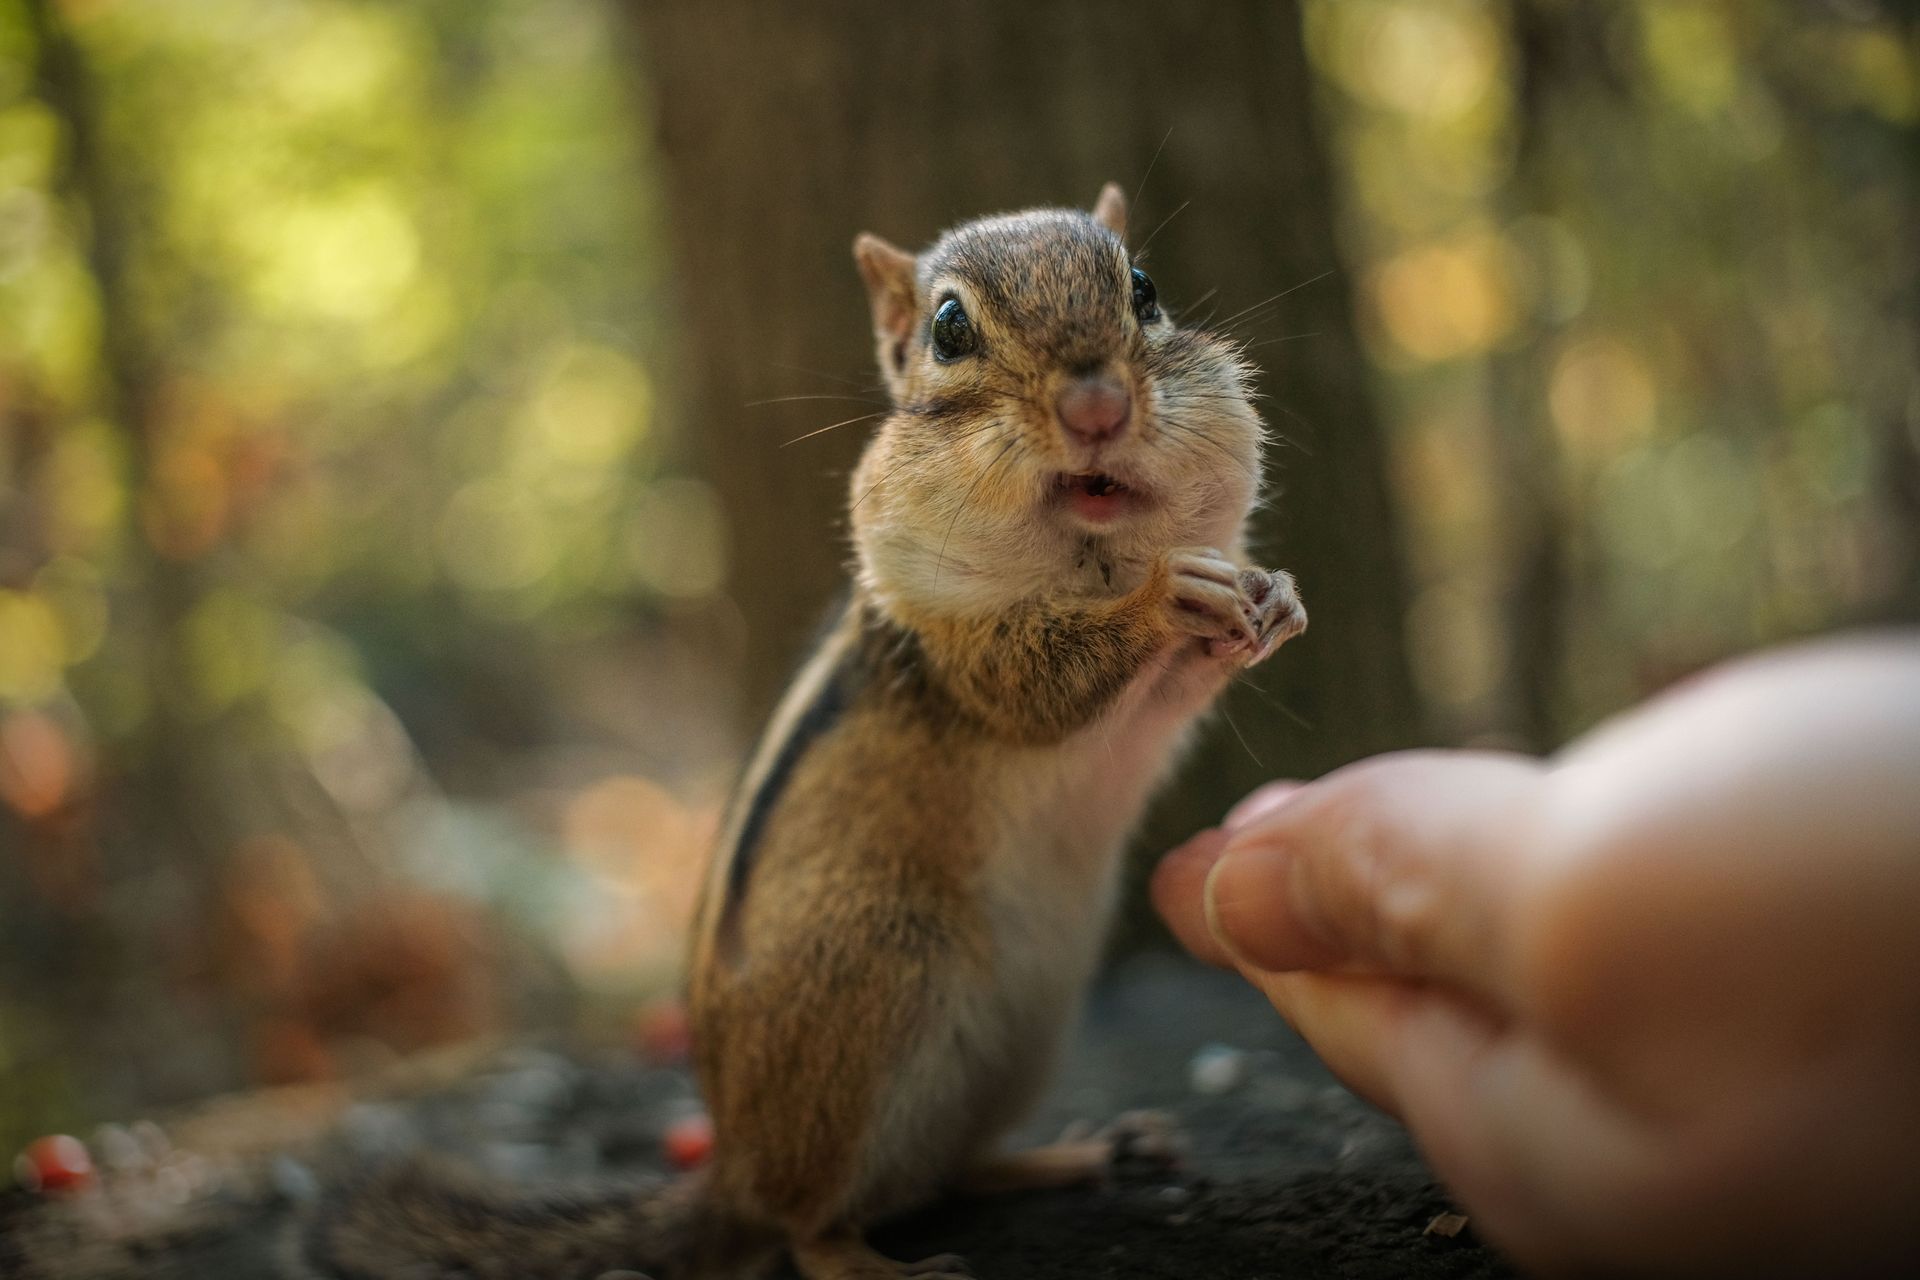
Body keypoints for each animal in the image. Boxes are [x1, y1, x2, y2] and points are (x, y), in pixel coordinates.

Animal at [295, 183, 1306, 1280]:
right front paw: (1166, 597)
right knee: (807, 1223)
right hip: (879, 980)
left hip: (1019, 1040)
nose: (1097, 408)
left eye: (1146, 289)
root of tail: (730, 1165)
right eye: (950, 330)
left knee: (947, 1170)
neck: (1092, 556)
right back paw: (881, 1261)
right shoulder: (951, 648)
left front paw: (1270, 598)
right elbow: (1040, 681)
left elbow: (1173, 694)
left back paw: (1079, 1155)